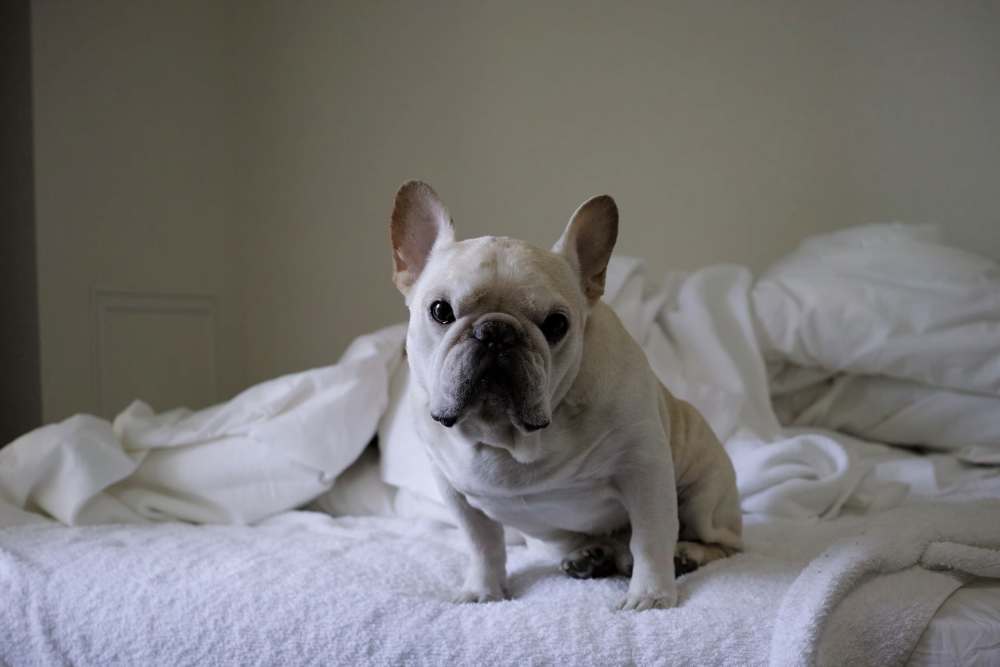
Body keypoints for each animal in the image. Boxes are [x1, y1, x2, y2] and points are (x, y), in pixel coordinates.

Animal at [390, 180, 744, 608]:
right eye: (441, 311)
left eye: (556, 324)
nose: (496, 332)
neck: (508, 437)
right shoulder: (456, 494)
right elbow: (482, 544)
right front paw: (483, 591)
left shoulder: (644, 470)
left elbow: (651, 537)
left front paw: (651, 596)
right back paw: (592, 556)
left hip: (705, 497)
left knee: (721, 543)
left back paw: (686, 555)